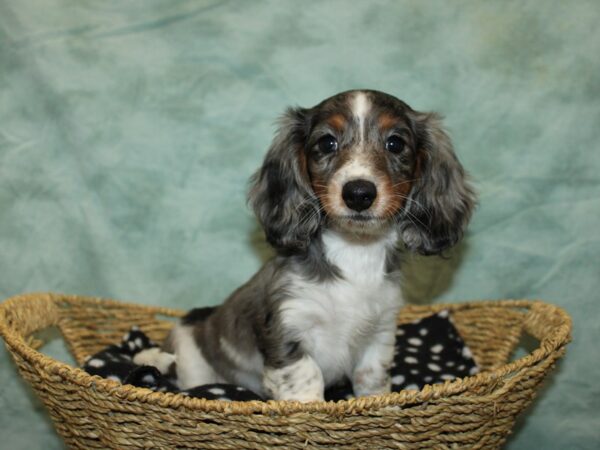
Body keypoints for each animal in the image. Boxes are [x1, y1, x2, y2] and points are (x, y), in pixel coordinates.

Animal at [161, 89, 478, 402]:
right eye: (327, 142)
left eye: (395, 143)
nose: (359, 194)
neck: (355, 253)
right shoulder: (287, 325)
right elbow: (307, 377)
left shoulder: (380, 333)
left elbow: (373, 379)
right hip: (191, 361)